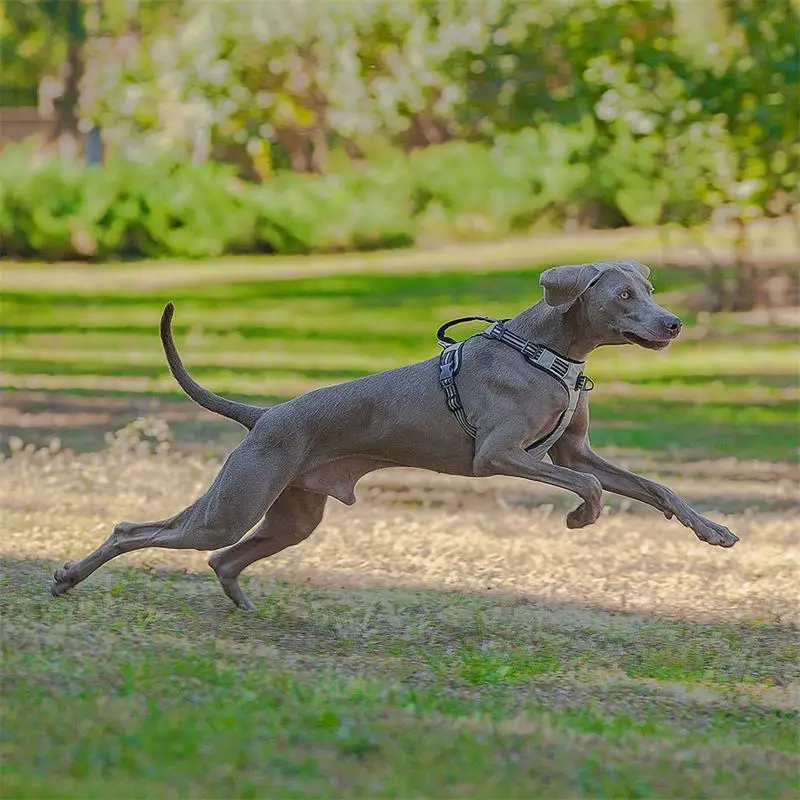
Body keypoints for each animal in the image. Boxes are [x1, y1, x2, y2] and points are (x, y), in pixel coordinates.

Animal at [50, 260, 736, 608]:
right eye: (623, 295)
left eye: (649, 289)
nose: (674, 323)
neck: (548, 353)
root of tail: (264, 414)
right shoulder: (499, 454)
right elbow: (588, 487)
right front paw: (579, 519)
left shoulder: (575, 449)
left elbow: (655, 487)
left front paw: (713, 530)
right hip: (234, 502)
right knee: (136, 530)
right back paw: (67, 579)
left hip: (293, 514)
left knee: (222, 557)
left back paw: (241, 603)